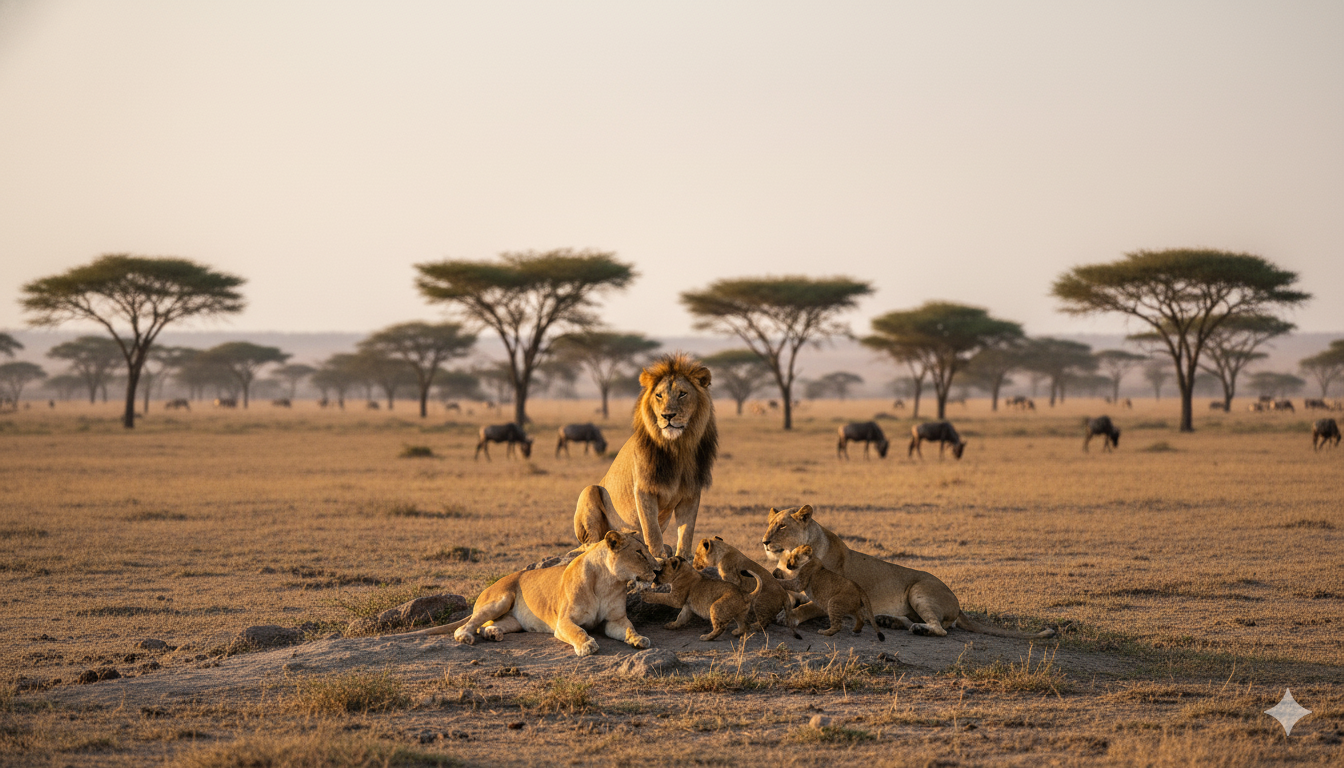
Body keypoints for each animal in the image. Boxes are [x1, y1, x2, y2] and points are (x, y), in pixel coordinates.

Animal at [392, 531, 657, 657]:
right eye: (639, 552)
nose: (657, 569)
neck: (607, 581)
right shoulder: (563, 622)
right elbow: (578, 631)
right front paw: (586, 646)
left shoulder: (615, 619)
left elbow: (629, 628)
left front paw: (639, 639)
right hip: (501, 599)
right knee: (467, 625)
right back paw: (466, 637)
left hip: (513, 621)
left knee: (488, 625)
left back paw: (493, 634)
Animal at [573, 353, 717, 559]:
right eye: (659, 395)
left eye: (682, 394)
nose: (668, 416)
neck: (677, 448)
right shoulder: (644, 489)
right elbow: (652, 529)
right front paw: (657, 556)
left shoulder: (691, 492)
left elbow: (687, 531)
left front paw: (683, 558)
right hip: (590, 490)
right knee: (590, 543)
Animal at [761, 505, 1055, 639]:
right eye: (769, 525)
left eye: (782, 526)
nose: (764, 541)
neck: (789, 557)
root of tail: (958, 604)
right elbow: (788, 594)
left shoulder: (831, 597)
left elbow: (807, 607)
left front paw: (788, 616)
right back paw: (890, 621)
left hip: (919, 590)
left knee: (941, 629)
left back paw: (918, 629)